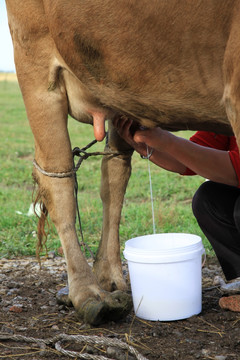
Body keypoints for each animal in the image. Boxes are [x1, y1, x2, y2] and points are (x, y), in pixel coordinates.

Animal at [5, 0, 240, 324]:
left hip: (119, 85)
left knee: (114, 171)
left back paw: (109, 278)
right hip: (35, 58)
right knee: (57, 178)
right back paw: (88, 293)